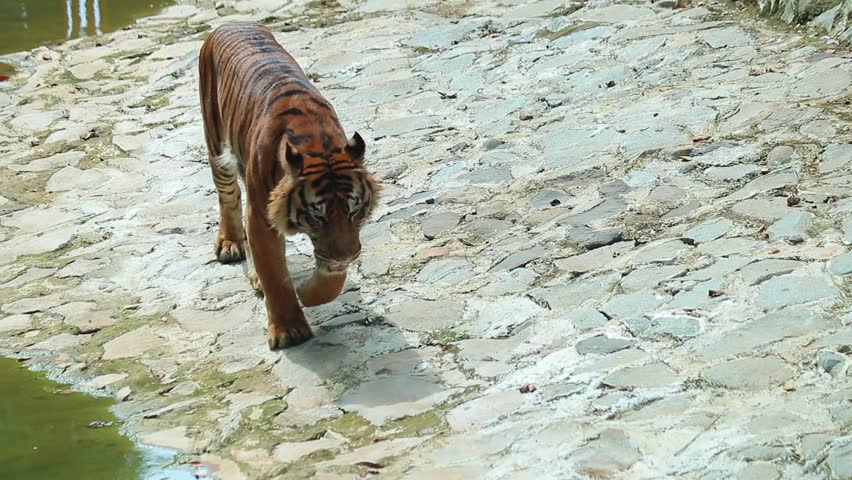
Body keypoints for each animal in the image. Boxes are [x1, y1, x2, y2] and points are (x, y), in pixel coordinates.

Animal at [198, 22, 380, 350]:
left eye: (354, 211)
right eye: (317, 215)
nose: (346, 257)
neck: (317, 141)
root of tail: (231, 22)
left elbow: (332, 280)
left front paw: (308, 293)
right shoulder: (262, 217)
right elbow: (274, 274)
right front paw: (289, 330)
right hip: (216, 144)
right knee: (228, 196)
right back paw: (230, 244)